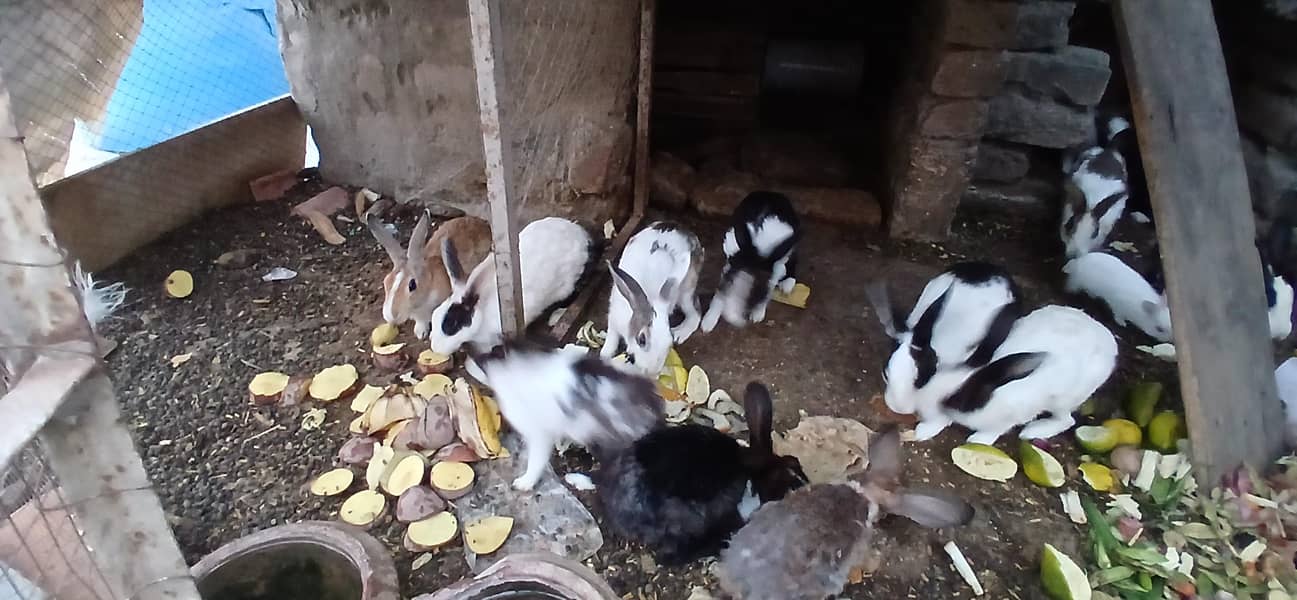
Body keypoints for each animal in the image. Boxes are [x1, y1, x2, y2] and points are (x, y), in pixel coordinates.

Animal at [471, 339, 663, 491]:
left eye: (483, 359)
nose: (469, 357)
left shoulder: (538, 434)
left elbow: (536, 461)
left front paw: (525, 483)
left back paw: (577, 480)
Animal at [601, 221, 705, 375]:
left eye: (669, 341)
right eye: (642, 339)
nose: (652, 371)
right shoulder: (613, 318)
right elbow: (611, 338)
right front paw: (604, 355)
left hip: (687, 289)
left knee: (696, 312)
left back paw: (681, 333)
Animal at [701, 191, 800, 332]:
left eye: (762, 280)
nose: (736, 318)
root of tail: (772, 193)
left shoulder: (775, 268)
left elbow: (770, 288)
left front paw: (757, 315)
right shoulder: (731, 264)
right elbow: (721, 292)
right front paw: (708, 322)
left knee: (793, 261)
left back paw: (787, 285)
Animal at [892, 304, 1117, 444]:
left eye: (958, 398)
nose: (921, 406)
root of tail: (1107, 337)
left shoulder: (1015, 413)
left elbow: (997, 429)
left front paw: (978, 440)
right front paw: (925, 431)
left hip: (1064, 399)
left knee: (1067, 420)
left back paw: (1032, 431)